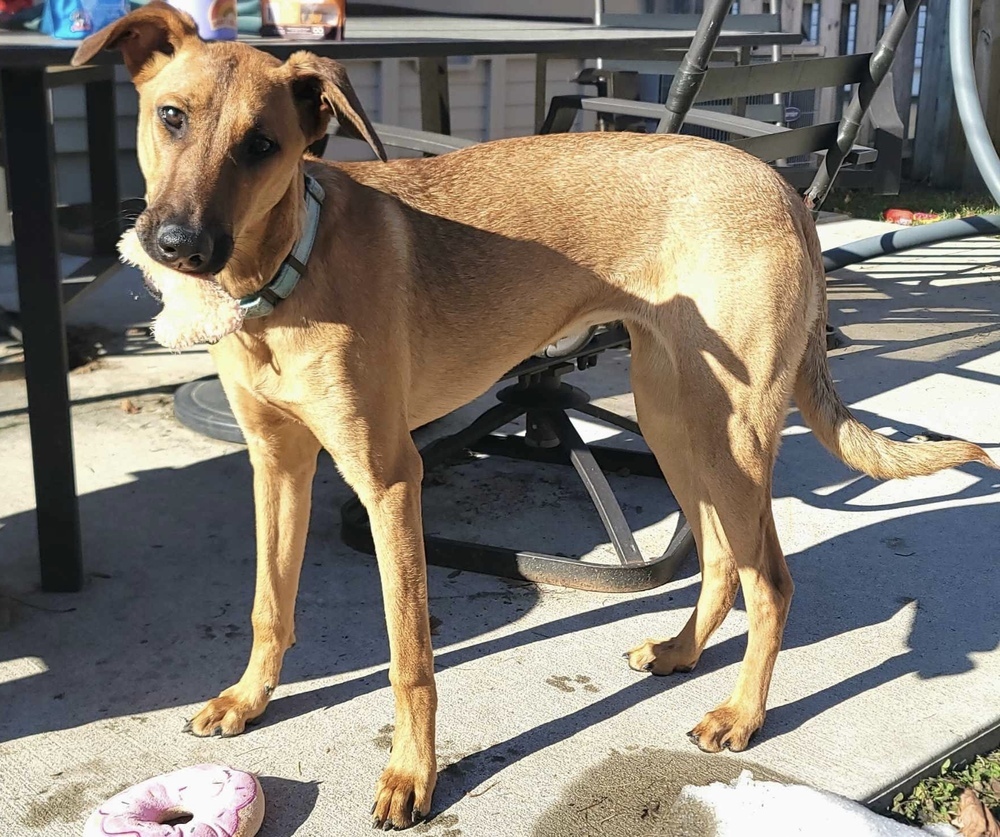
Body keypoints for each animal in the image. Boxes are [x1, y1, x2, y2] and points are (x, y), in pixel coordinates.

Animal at [74, 6, 996, 828]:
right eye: (170, 117)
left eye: (263, 145)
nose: (177, 246)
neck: (288, 274)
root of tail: (784, 188)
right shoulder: (277, 464)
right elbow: (271, 601)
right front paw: (248, 697)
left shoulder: (390, 479)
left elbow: (409, 657)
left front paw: (412, 776)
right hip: (674, 417)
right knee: (721, 558)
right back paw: (680, 652)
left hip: (730, 433)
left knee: (770, 578)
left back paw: (740, 714)